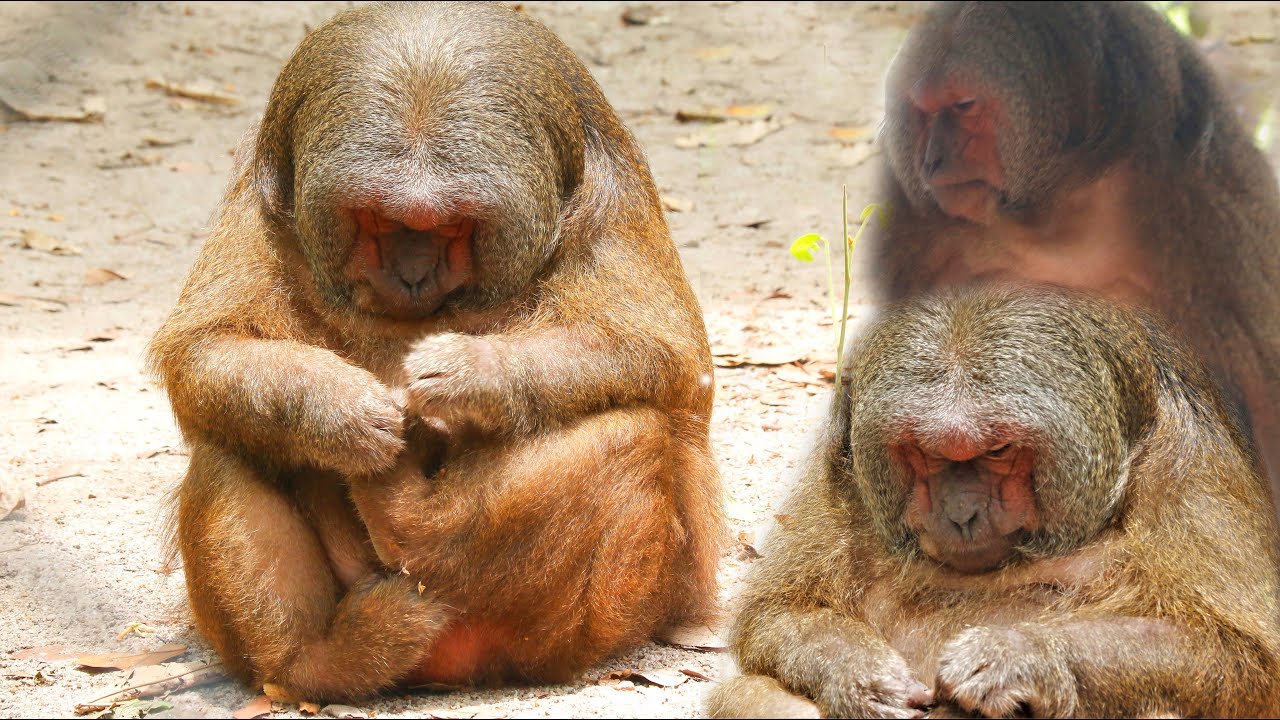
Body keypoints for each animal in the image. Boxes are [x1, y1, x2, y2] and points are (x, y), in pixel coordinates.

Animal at [147, 1, 724, 701]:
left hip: (572, 624)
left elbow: (668, 360)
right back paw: (312, 662)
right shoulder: (261, 190)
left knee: (632, 430)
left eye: (451, 226)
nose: (413, 273)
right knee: (229, 439)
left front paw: (472, 376)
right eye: (377, 219)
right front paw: (337, 410)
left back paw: (411, 524)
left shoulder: (612, 195)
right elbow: (206, 350)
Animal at [707, 285, 1280, 719]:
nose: (961, 513)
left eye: (998, 449)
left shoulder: (1188, 467)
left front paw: (1017, 656)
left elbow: (1243, 657)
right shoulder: (842, 464)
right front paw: (859, 675)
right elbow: (778, 611)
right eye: (926, 450)